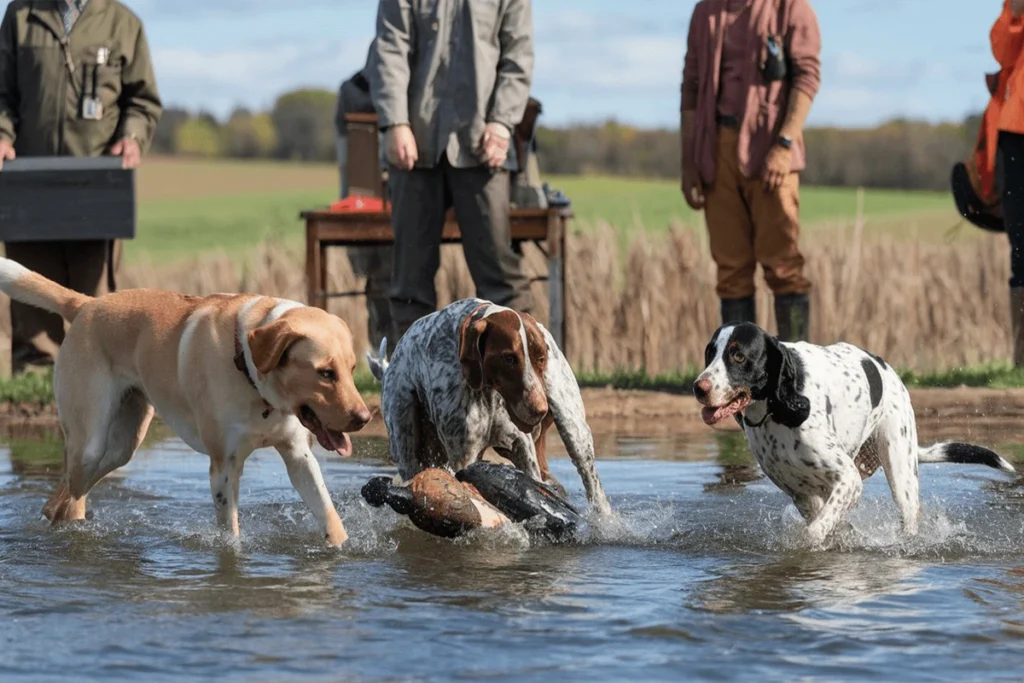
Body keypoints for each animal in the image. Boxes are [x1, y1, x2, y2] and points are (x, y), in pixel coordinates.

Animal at [692, 325, 1011, 544]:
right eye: (709, 353)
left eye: (738, 355)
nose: (698, 387)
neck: (778, 410)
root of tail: (887, 369)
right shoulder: (802, 494)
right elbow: (826, 522)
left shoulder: (848, 480)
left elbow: (814, 532)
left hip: (901, 474)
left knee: (908, 516)